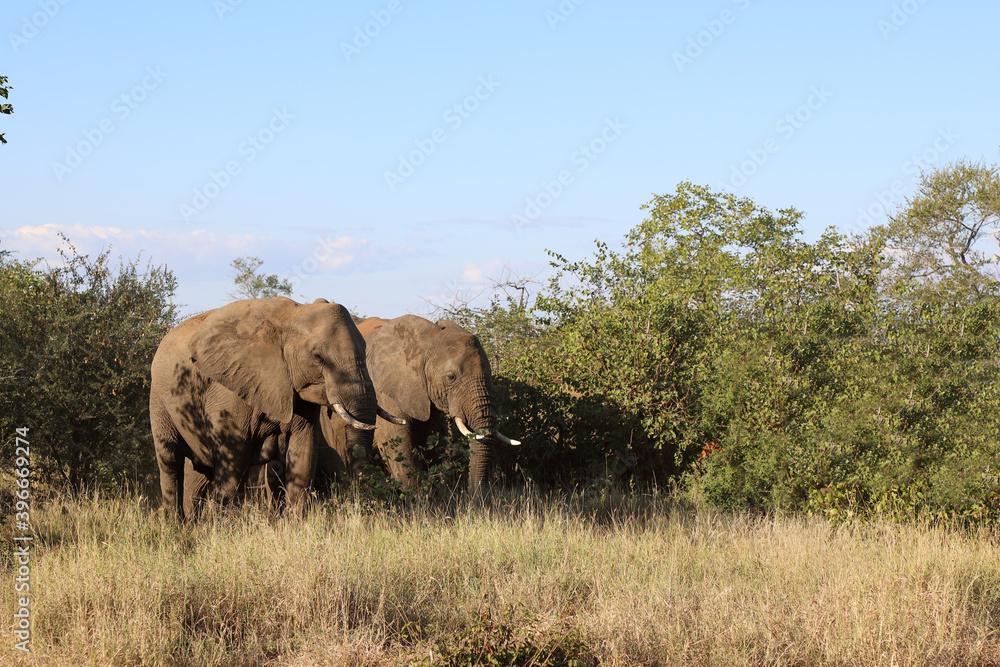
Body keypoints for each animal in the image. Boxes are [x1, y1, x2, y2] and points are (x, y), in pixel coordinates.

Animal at [149, 297, 402, 520]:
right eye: (318, 356)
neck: (291, 317)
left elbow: (304, 452)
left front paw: (296, 525)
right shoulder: (228, 388)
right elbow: (234, 457)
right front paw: (225, 529)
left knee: (200, 473)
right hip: (159, 399)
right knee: (170, 461)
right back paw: (175, 526)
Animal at [316, 314, 520, 495]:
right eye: (451, 377)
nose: (478, 500)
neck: (426, 339)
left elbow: (427, 443)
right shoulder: (384, 389)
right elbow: (398, 444)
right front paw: (417, 500)